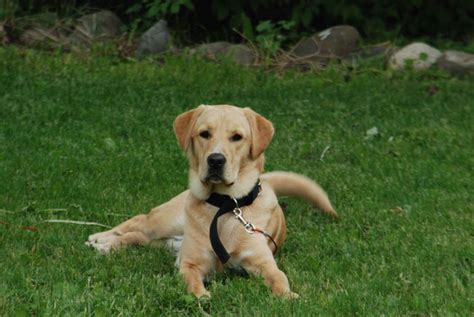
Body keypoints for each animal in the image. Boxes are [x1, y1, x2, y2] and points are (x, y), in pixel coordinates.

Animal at [86, 103, 336, 296]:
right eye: (204, 133)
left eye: (237, 137)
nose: (216, 160)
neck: (225, 205)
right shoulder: (190, 263)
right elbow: (192, 283)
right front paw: (201, 297)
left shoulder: (262, 261)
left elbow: (279, 277)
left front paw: (289, 296)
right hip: (167, 221)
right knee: (137, 222)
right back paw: (101, 239)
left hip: (166, 240)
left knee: (138, 237)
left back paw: (107, 246)